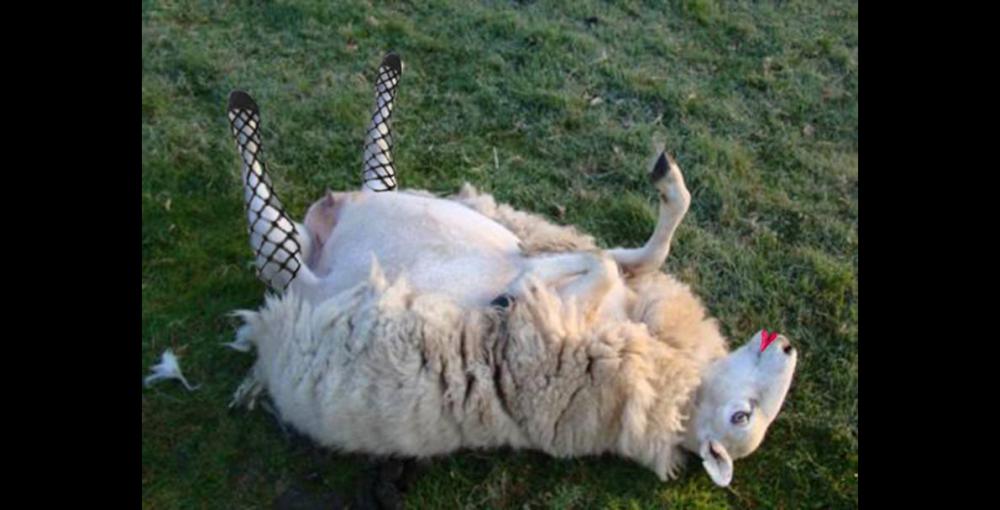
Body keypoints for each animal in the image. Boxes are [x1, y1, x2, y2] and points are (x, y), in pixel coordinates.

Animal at [226, 54, 797, 490]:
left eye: (740, 418)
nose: (788, 346)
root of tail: (323, 224)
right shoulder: (614, 277)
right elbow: (626, 255)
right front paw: (666, 184)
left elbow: (596, 266)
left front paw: (516, 288)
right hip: (354, 219)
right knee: (375, 176)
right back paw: (384, 71)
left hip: (294, 273)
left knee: (277, 223)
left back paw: (244, 110)